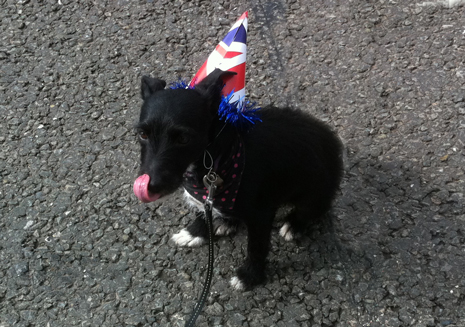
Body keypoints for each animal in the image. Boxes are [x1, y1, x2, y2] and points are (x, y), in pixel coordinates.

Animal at [132, 68, 342, 290]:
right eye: (142, 134)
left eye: (183, 138)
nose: (150, 186)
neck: (220, 157)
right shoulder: (205, 194)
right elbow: (203, 211)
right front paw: (194, 233)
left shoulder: (261, 216)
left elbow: (256, 247)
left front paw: (249, 276)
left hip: (314, 194)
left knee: (313, 210)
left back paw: (294, 224)